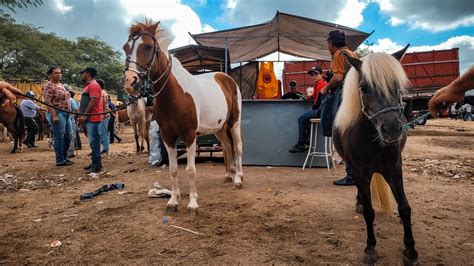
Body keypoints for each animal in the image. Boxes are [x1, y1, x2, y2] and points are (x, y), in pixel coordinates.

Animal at [122, 19, 244, 213]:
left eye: (148, 47)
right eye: (125, 47)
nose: (129, 82)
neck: (175, 95)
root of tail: (227, 78)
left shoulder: (189, 135)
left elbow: (190, 169)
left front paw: (192, 203)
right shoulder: (168, 137)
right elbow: (173, 169)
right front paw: (173, 200)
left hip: (234, 122)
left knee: (237, 147)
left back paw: (238, 179)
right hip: (219, 128)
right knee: (227, 146)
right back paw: (228, 175)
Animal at [334, 45, 418, 264]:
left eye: (396, 85)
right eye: (363, 87)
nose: (392, 130)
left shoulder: (395, 170)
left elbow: (405, 208)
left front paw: (410, 250)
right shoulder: (360, 172)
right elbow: (369, 212)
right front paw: (370, 248)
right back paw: (359, 203)